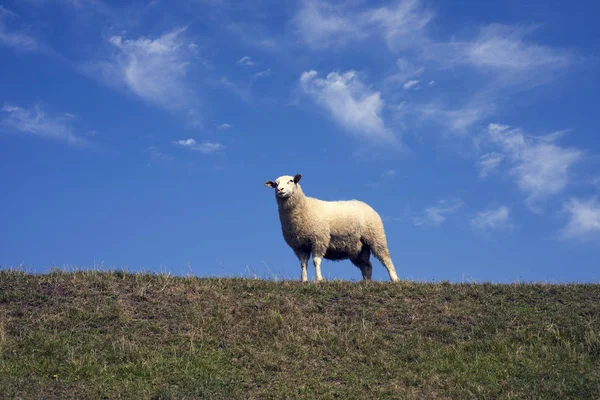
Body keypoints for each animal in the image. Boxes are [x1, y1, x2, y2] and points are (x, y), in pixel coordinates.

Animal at [262, 173, 398, 282]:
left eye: (291, 181)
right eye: (275, 184)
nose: (280, 189)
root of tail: (367, 205)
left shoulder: (319, 239)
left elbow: (316, 261)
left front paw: (319, 280)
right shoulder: (300, 245)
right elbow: (303, 264)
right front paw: (304, 280)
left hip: (376, 237)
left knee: (386, 259)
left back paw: (395, 279)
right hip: (359, 248)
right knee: (367, 266)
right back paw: (366, 282)